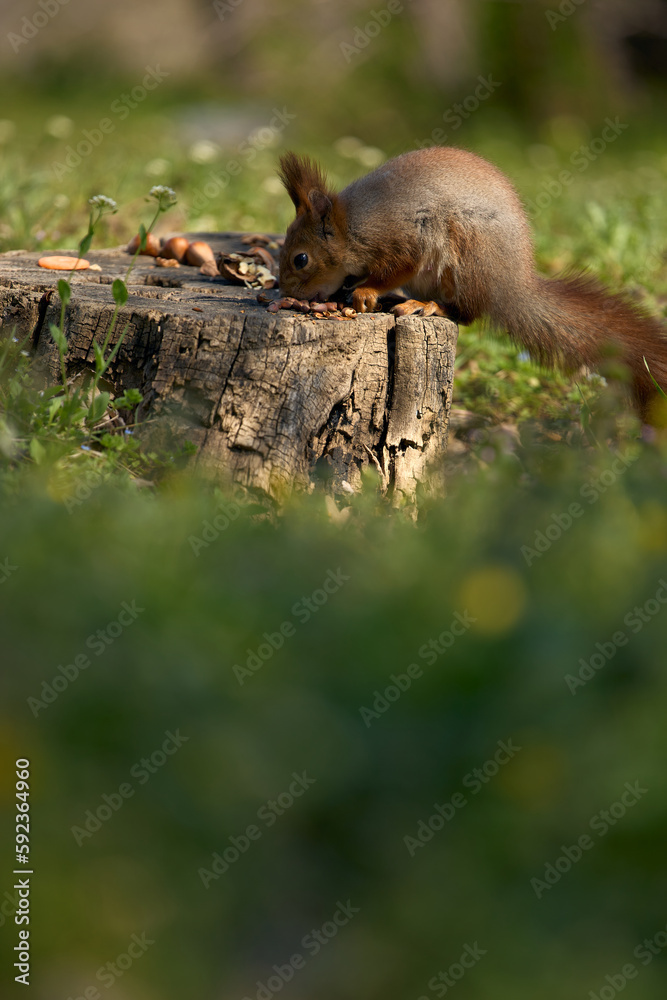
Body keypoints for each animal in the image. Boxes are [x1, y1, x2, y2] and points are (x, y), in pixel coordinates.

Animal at [278, 146, 667, 422]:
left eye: (301, 259)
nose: (286, 295)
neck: (352, 227)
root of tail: (510, 286)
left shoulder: (406, 239)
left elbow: (398, 267)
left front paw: (365, 291)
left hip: (467, 256)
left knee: (467, 313)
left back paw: (428, 306)